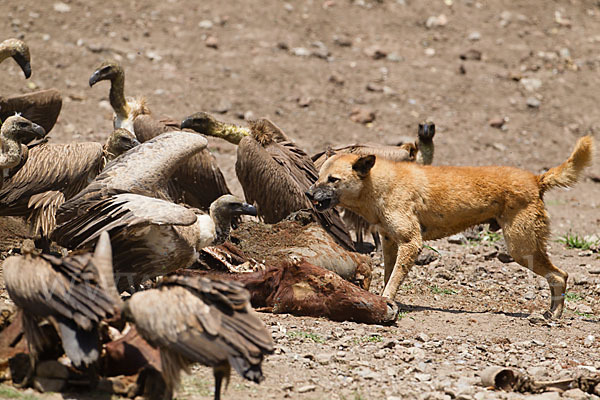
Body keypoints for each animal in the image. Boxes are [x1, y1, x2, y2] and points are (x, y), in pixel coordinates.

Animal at [310, 136, 596, 318]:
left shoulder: (411, 243)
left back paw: (554, 316)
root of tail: (537, 179)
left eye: (333, 180)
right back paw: (552, 313)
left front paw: (387, 300)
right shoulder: (391, 243)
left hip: (521, 248)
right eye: (318, 176)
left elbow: (393, 280)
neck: (380, 185)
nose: (308, 193)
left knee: (559, 275)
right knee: (559, 276)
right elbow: (389, 275)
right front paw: (384, 299)